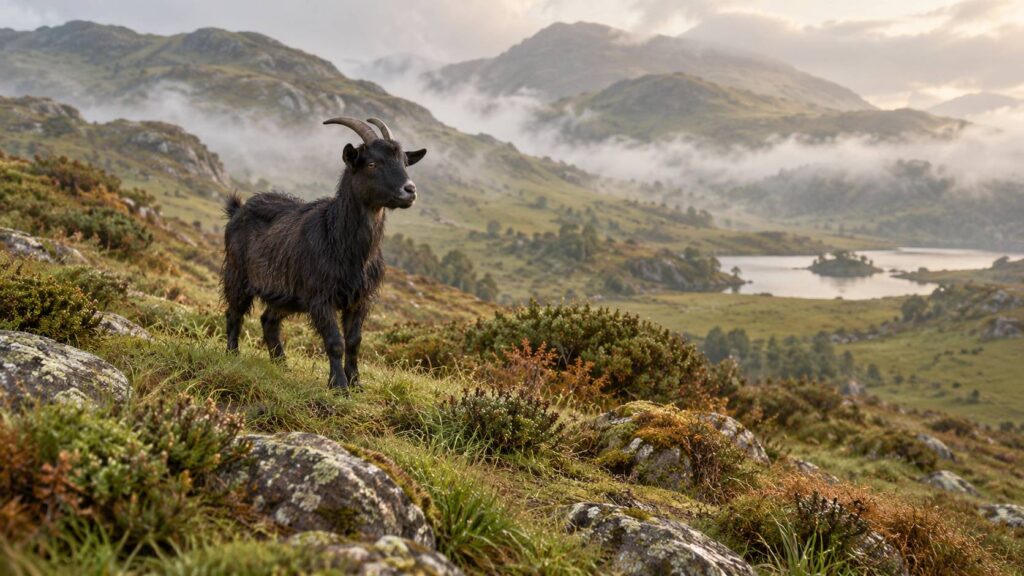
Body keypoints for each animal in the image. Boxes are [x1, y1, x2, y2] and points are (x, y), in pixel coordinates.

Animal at [222, 117, 427, 389]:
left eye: (404, 162)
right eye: (372, 163)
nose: (410, 190)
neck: (339, 239)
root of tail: (237, 210)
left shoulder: (360, 300)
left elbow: (354, 342)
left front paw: (356, 383)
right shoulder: (321, 297)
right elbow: (335, 342)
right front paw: (339, 385)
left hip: (286, 295)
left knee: (269, 320)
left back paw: (281, 364)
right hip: (238, 274)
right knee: (234, 313)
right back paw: (232, 354)